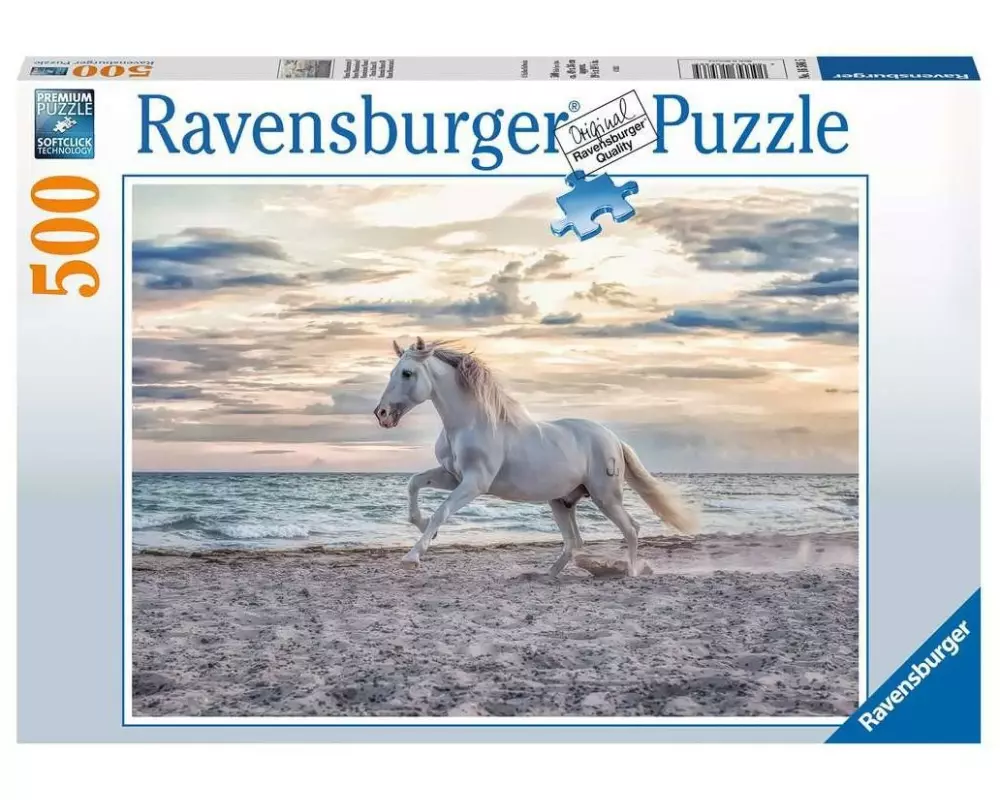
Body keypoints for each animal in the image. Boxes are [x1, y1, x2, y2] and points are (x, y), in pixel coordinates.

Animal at [373, 337, 698, 576]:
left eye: (407, 373)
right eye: (391, 373)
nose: (381, 414)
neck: (470, 423)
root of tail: (614, 439)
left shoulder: (475, 483)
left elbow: (442, 511)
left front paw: (413, 556)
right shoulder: (452, 476)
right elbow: (414, 484)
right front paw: (422, 525)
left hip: (605, 496)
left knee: (631, 528)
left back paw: (631, 572)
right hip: (562, 502)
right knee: (574, 541)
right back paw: (547, 574)